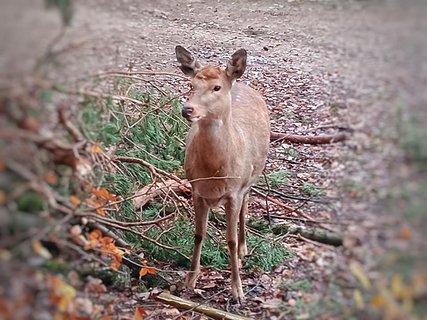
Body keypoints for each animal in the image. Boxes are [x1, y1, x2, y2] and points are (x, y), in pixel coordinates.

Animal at [175, 45, 270, 302]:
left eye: (217, 87)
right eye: (191, 85)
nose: (187, 109)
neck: (214, 173)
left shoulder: (234, 192)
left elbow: (230, 240)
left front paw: (238, 291)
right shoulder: (195, 188)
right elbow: (198, 234)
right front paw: (190, 280)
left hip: (251, 176)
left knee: (246, 204)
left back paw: (245, 248)